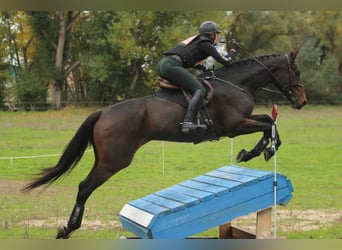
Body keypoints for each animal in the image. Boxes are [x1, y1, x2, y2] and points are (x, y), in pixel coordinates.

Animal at [23, 48, 308, 238]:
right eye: (296, 71)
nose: (302, 101)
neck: (237, 83)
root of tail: (103, 112)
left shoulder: (243, 122)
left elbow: (269, 122)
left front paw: (256, 151)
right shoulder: (235, 126)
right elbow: (269, 125)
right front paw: (259, 151)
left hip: (104, 159)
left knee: (85, 185)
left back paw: (68, 226)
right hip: (114, 161)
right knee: (85, 187)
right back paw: (68, 228)